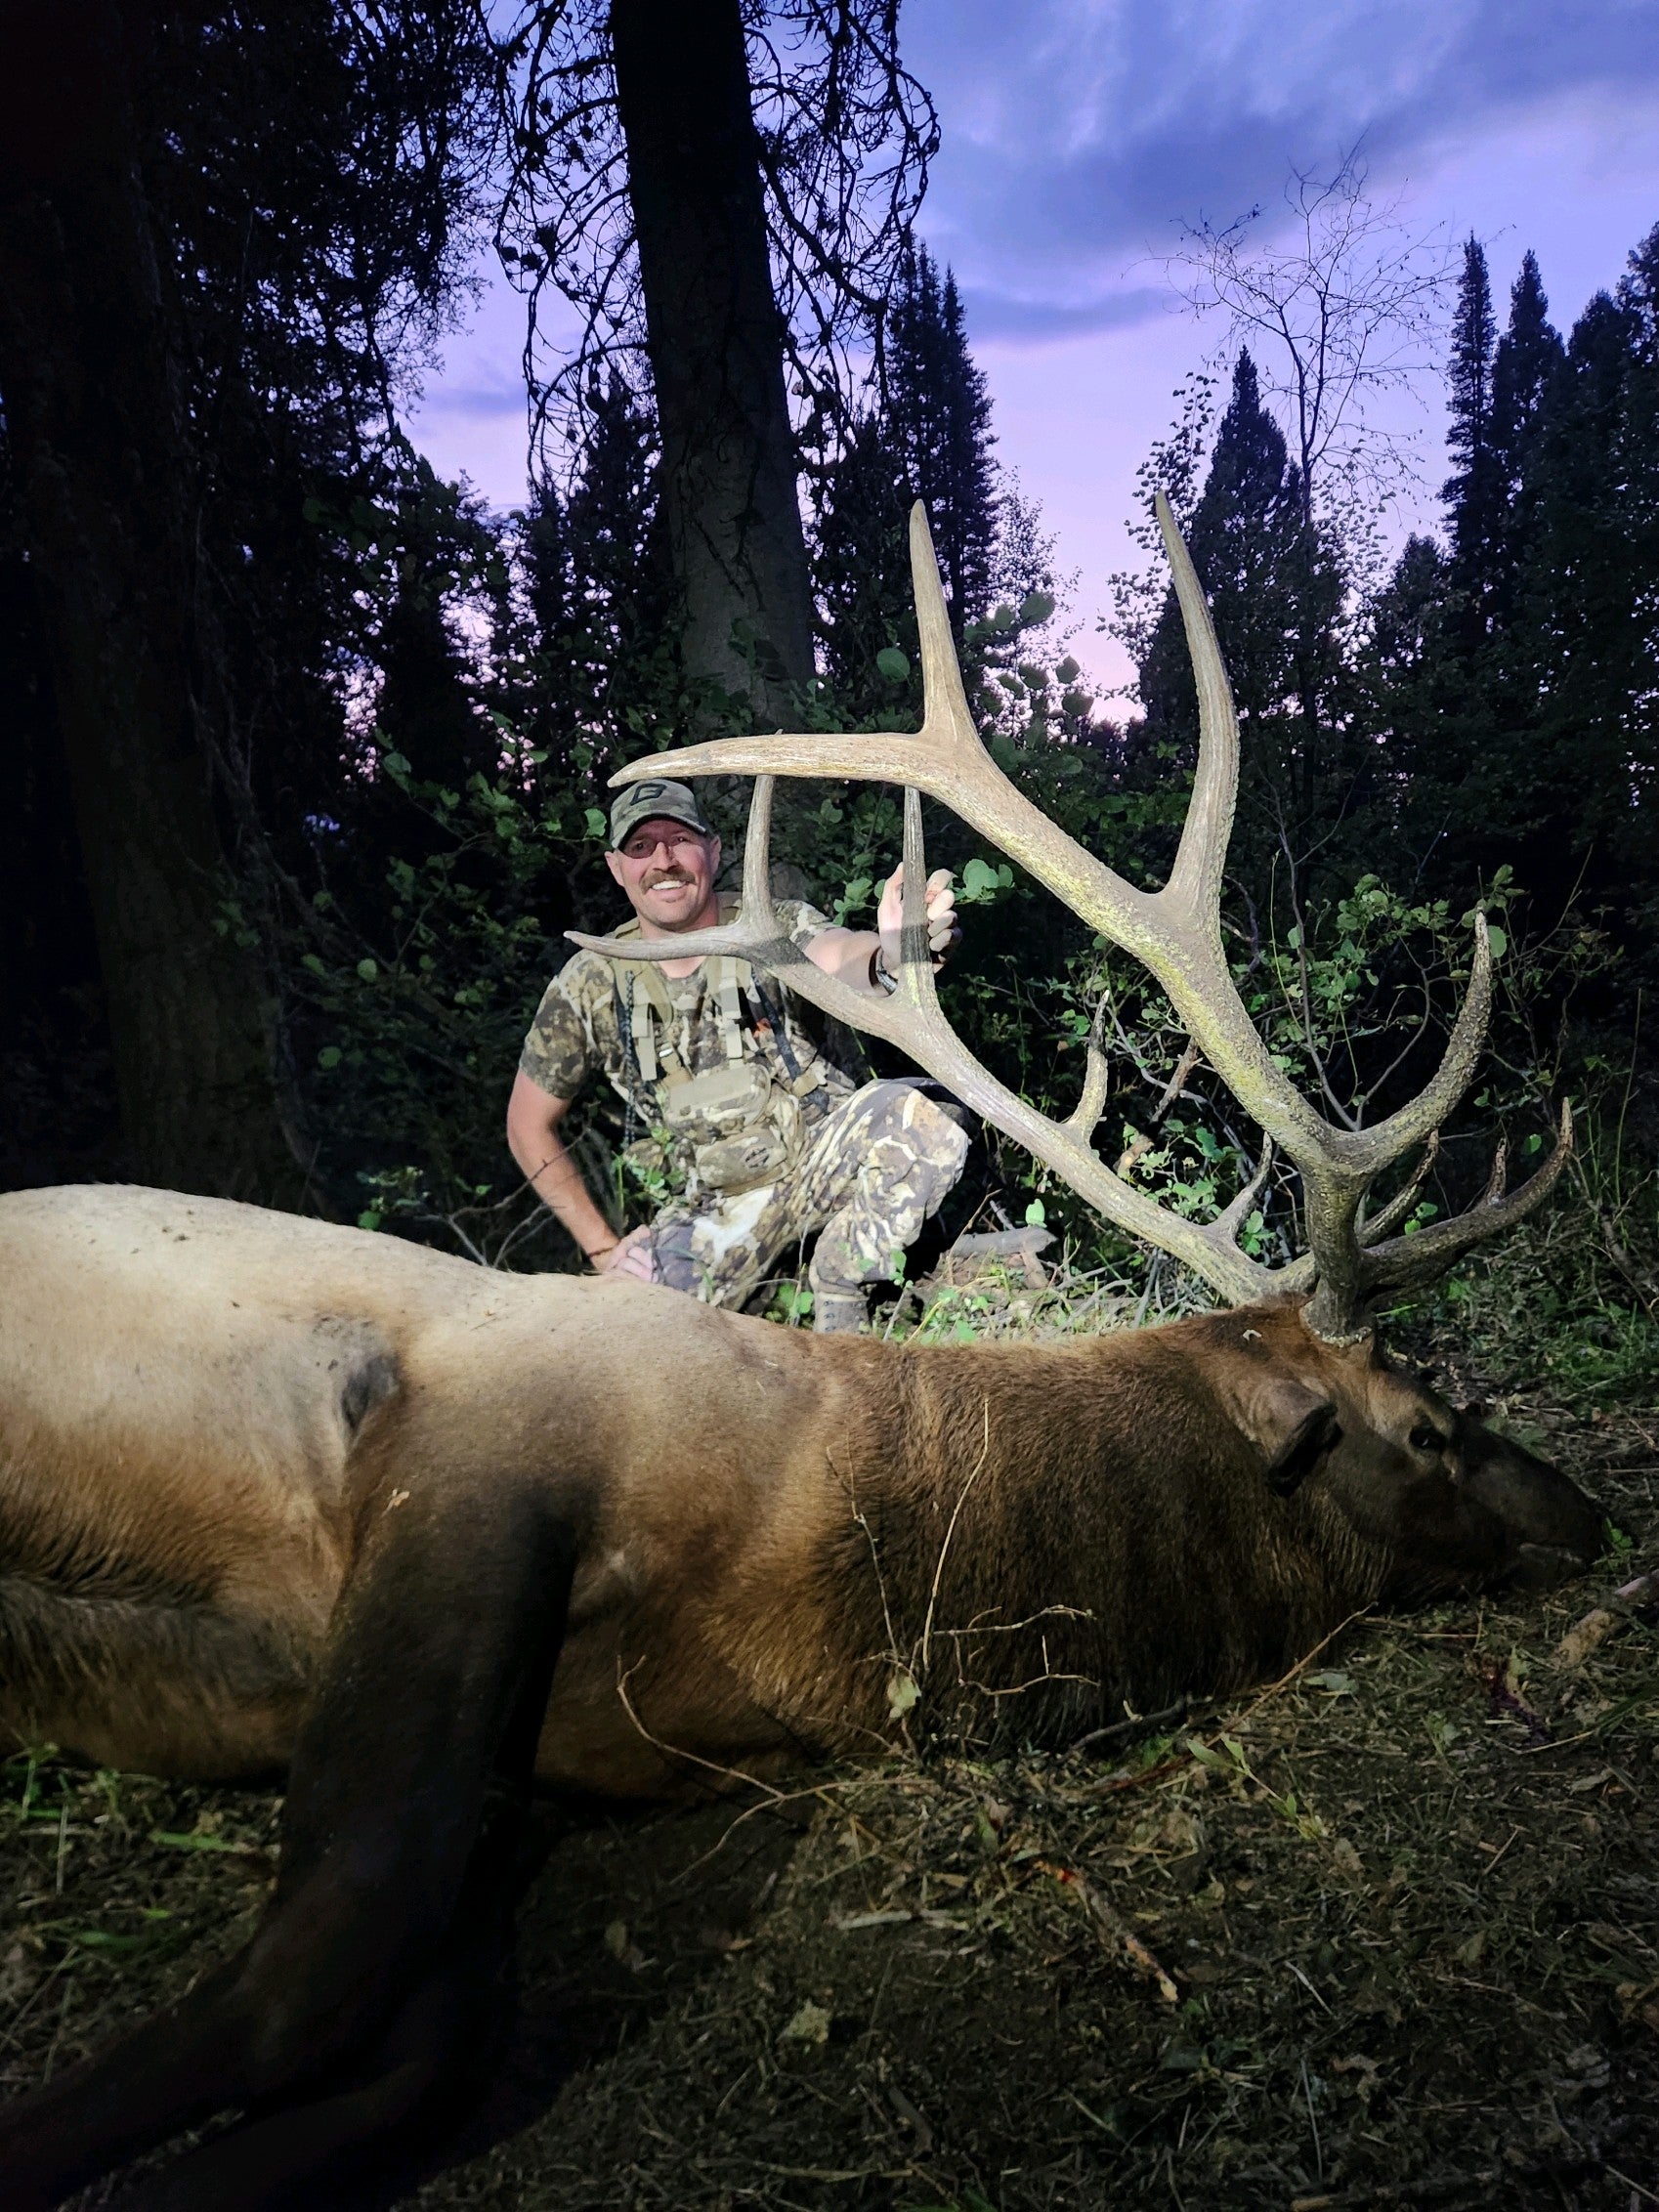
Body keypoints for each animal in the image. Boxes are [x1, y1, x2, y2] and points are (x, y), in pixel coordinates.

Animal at [0, 501, 1610, 2212]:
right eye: (1424, 1423)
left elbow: (422, 2027)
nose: (1590, 1511)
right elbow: (312, 1965)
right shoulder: (484, 1458)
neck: (826, 1574)